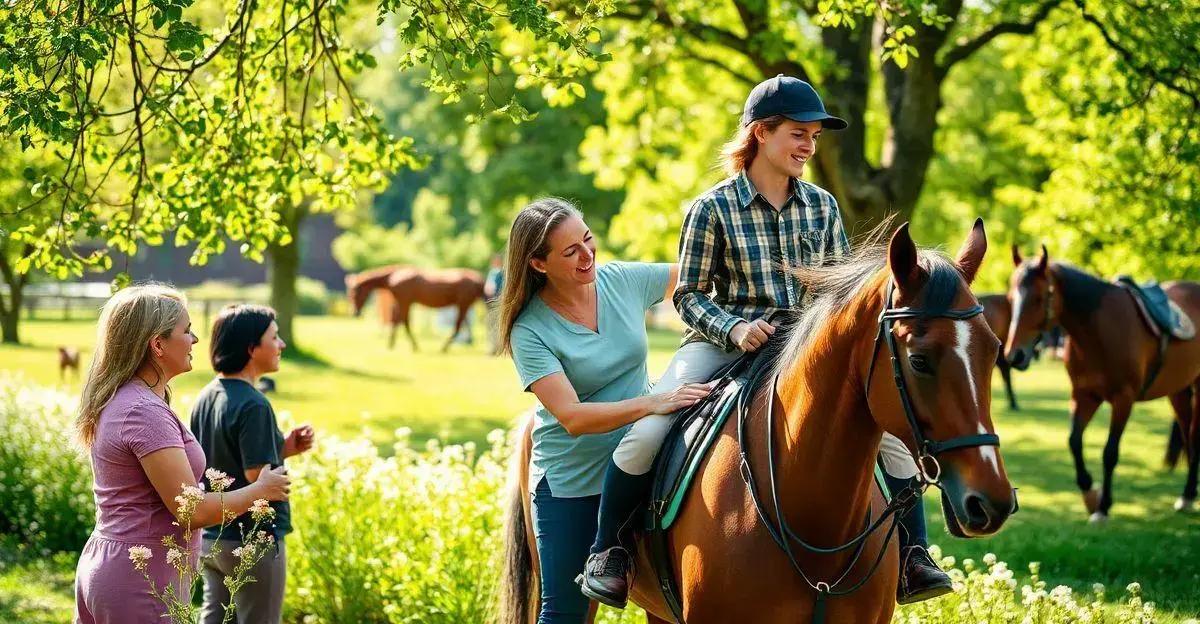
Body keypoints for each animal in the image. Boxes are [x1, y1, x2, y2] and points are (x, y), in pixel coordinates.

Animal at [343, 262, 482, 350]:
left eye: (353, 293)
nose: (355, 313)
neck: (394, 277)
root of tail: (478, 279)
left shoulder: (405, 301)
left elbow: (404, 323)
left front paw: (414, 346)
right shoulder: (402, 302)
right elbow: (397, 322)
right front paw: (391, 344)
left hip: (463, 304)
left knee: (458, 326)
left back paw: (444, 348)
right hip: (464, 305)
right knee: (464, 324)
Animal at [1003, 246, 1200, 518]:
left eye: (1039, 298)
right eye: (1011, 299)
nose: (1015, 355)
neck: (1098, 331)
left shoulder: (1123, 399)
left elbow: (1109, 453)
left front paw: (1104, 506)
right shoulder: (1084, 395)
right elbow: (1074, 441)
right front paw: (1090, 494)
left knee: (1195, 438)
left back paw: (1189, 494)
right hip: (1178, 392)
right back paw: (1188, 494)